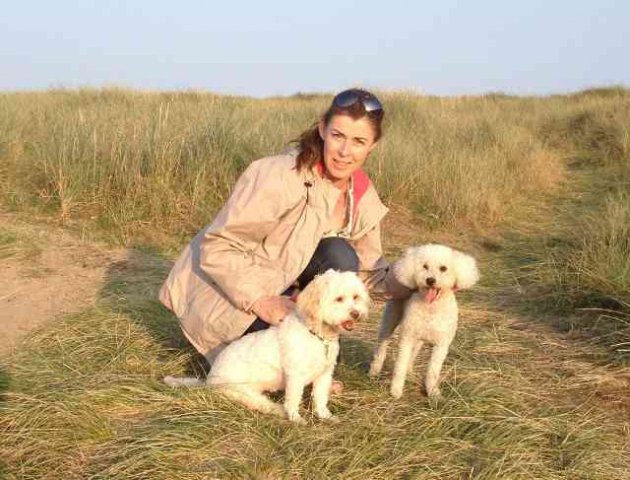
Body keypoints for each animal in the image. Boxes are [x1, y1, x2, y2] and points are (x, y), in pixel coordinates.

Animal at [165, 270, 370, 424]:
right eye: (339, 299)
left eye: (355, 297)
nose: (356, 313)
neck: (317, 336)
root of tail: (208, 380)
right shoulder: (295, 376)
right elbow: (293, 399)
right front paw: (296, 419)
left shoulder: (324, 375)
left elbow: (320, 398)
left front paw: (325, 416)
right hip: (242, 392)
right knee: (263, 404)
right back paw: (279, 410)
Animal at [368, 244, 482, 398]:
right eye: (425, 266)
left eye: (443, 268)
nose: (430, 280)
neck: (431, 308)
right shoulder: (407, 339)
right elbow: (400, 366)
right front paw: (395, 390)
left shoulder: (441, 345)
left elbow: (433, 371)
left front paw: (433, 392)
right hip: (390, 320)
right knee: (382, 346)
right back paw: (374, 370)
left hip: (418, 339)